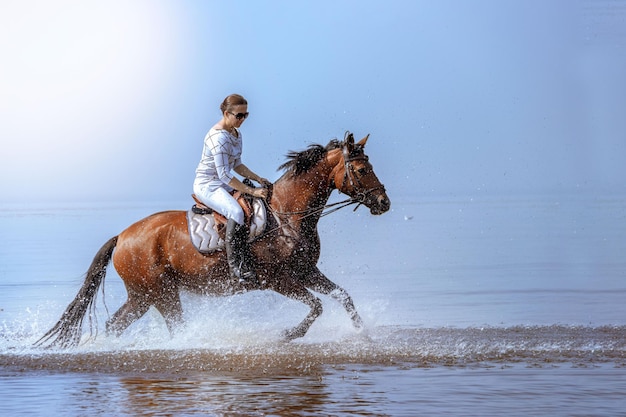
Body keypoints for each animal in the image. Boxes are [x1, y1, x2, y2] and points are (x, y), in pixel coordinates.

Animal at [35, 132, 390, 346]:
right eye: (361, 170)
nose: (384, 203)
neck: (286, 215)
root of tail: (122, 237)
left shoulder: (305, 271)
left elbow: (343, 296)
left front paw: (364, 335)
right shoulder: (277, 279)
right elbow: (316, 306)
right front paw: (288, 334)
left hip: (142, 296)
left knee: (116, 325)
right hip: (160, 293)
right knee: (174, 327)